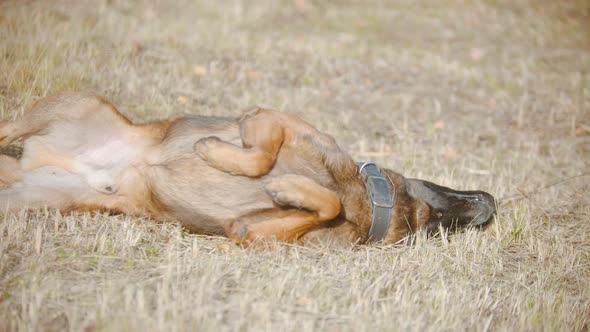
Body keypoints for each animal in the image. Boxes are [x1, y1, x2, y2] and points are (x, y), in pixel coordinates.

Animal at [0, 92, 500, 246]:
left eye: (434, 229)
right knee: (6, 129)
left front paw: (290, 190)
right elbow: (263, 156)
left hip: (31, 198)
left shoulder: (247, 231)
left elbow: (322, 204)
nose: (493, 201)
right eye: (441, 216)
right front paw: (213, 151)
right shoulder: (270, 119)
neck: (365, 201)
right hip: (75, 104)